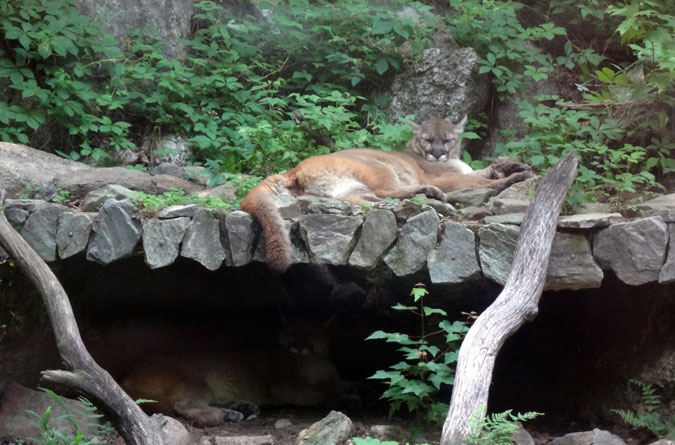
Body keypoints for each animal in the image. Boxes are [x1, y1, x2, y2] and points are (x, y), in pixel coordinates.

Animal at [242, 116, 532, 272]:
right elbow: (477, 180)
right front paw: (515, 176)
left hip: (349, 186)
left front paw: (514, 165)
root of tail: (297, 167)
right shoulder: (445, 176)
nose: (438, 153)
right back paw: (435, 197)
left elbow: (484, 171)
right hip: (379, 167)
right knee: (388, 192)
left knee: (372, 201)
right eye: (428, 140)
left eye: (447, 139)